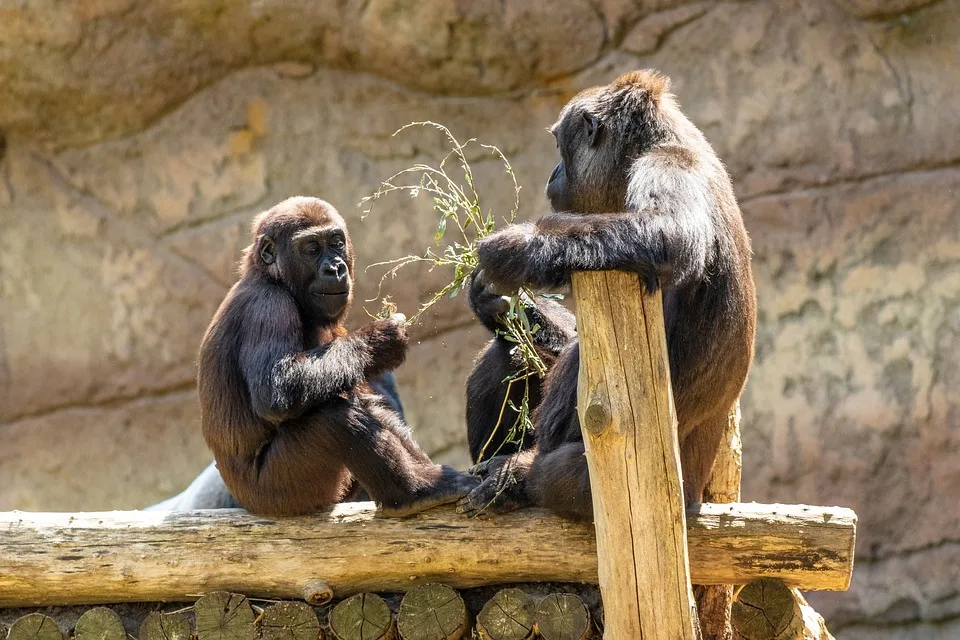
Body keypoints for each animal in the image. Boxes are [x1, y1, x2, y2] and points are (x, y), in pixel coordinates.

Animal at [200, 198, 480, 516]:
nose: (335, 268)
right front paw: (380, 341)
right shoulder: (269, 305)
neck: (270, 277)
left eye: (336, 243)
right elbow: (277, 389)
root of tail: (248, 505)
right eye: (311, 248)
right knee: (335, 420)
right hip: (279, 496)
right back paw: (413, 493)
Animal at [458, 70, 756, 524]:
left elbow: (668, 233)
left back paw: (516, 477)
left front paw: (520, 248)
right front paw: (503, 304)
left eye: (560, 146)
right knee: (508, 357)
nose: (553, 172)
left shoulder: (669, 167)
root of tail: (697, 500)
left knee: (559, 472)